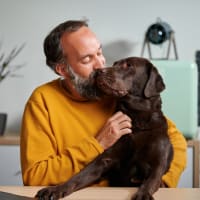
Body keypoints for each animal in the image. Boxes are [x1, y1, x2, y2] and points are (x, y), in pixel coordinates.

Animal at [36, 57, 173, 199]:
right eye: (115, 64)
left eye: (128, 65)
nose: (98, 71)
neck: (136, 119)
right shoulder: (104, 159)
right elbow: (79, 176)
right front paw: (56, 189)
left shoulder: (157, 164)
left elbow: (151, 181)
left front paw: (143, 194)